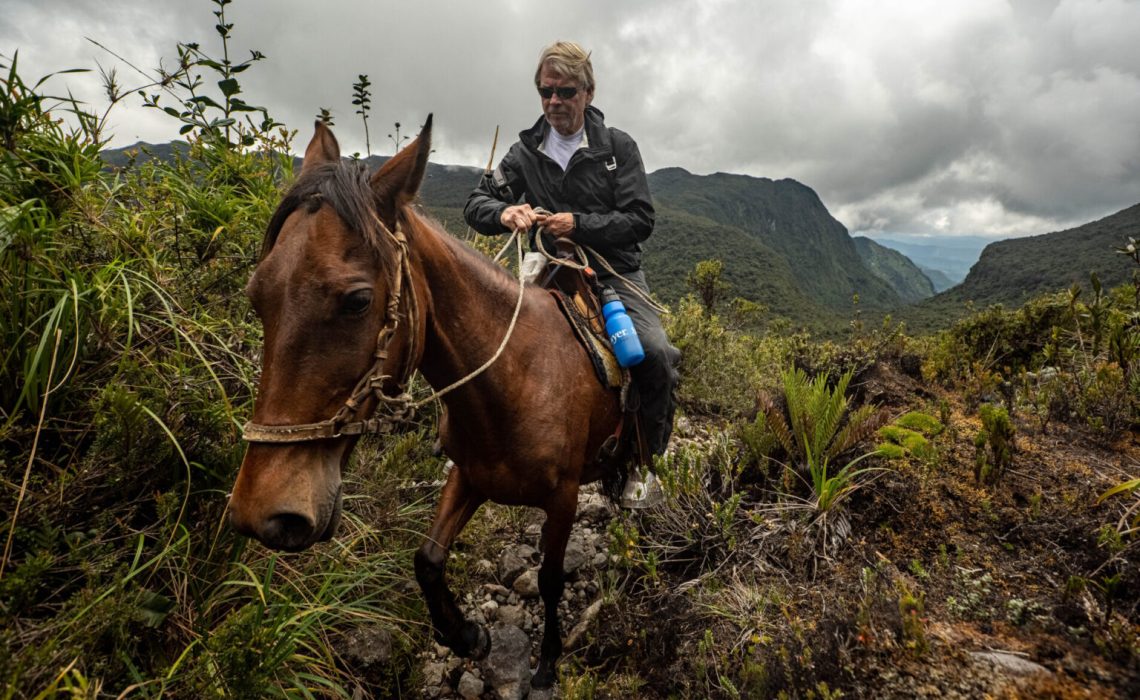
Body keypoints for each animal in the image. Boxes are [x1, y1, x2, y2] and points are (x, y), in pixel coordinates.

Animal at [228, 119, 624, 693]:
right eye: (257, 294)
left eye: (358, 301)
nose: (263, 513)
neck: (518, 379)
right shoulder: (470, 475)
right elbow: (428, 558)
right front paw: (466, 635)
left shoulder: (565, 498)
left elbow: (550, 580)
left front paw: (547, 661)